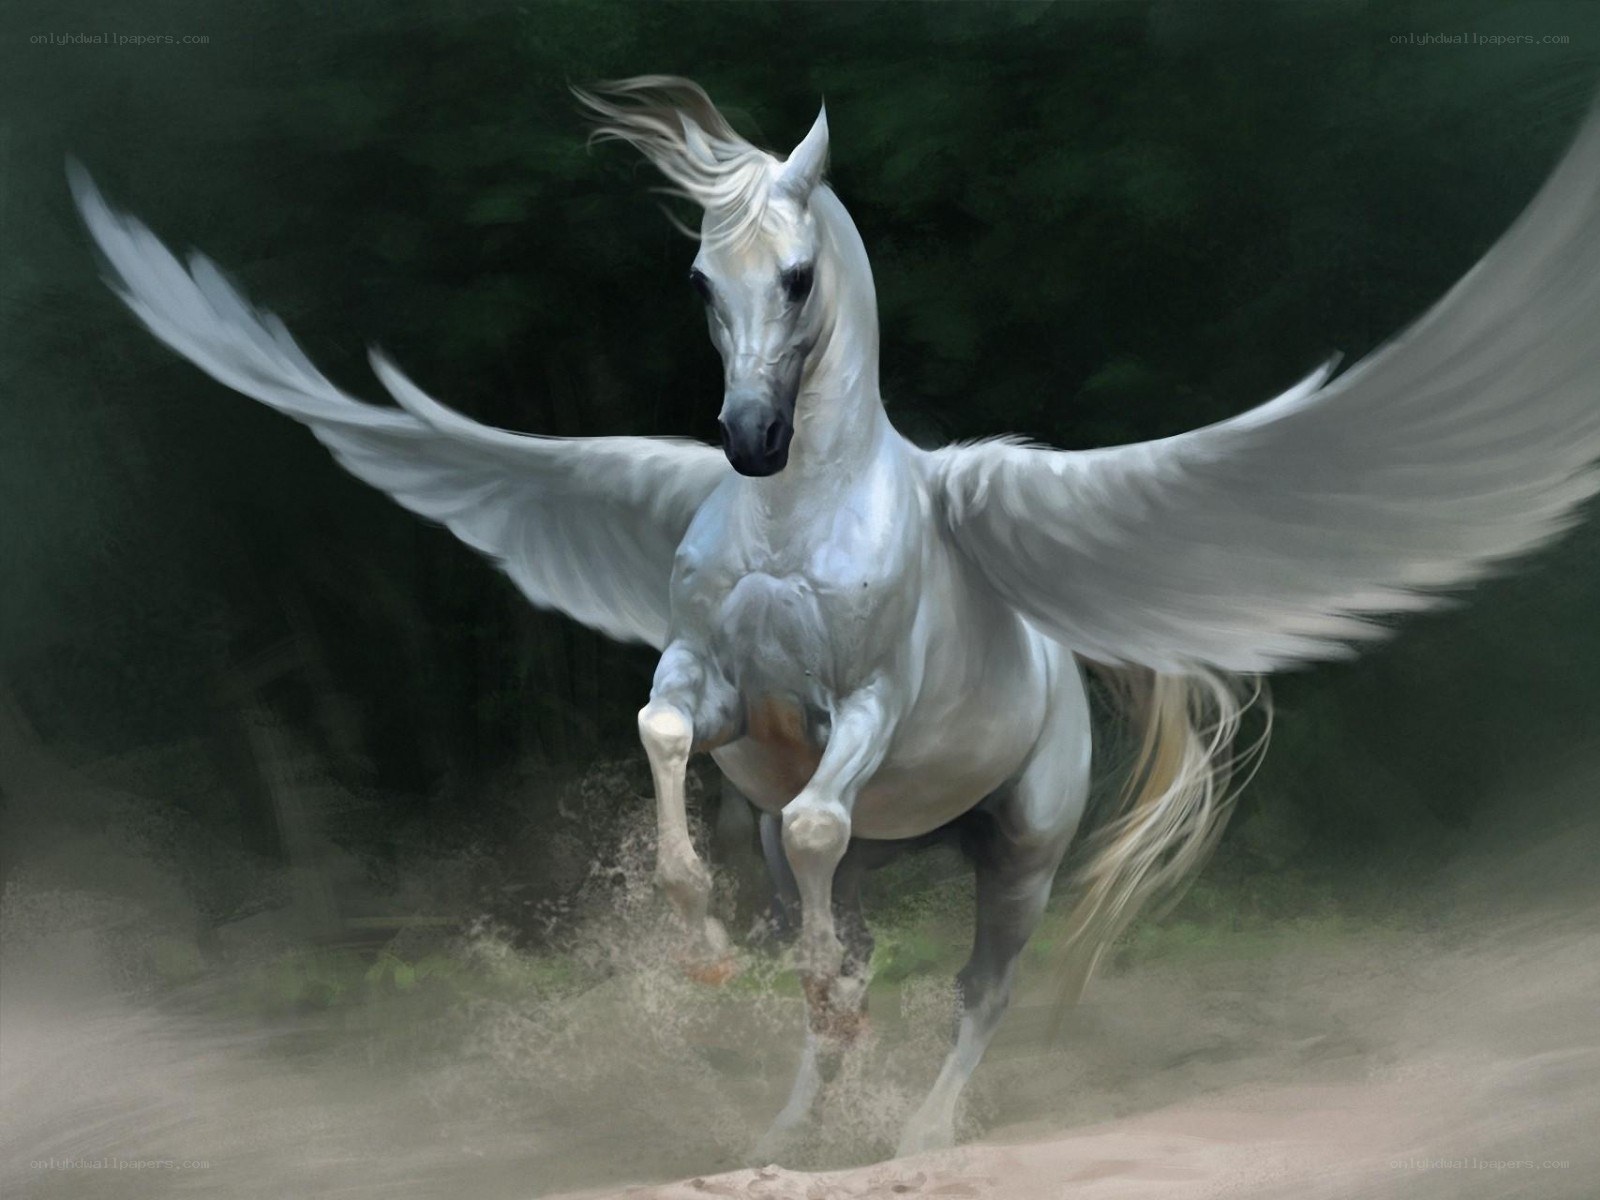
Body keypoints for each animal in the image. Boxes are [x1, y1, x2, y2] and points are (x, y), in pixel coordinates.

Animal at [73, 76, 1600, 1158]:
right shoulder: (709, 679)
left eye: (798, 276)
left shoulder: (862, 707)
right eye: (703, 279)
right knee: (840, 924)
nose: (748, 440)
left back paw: (918, 1135)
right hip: (887, 844)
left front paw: (804, 991)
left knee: (977, 988)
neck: (798, 516)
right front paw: (702, 947)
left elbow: (817, 822)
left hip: (1019, 850)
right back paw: (785, 1131)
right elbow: (668, 745)